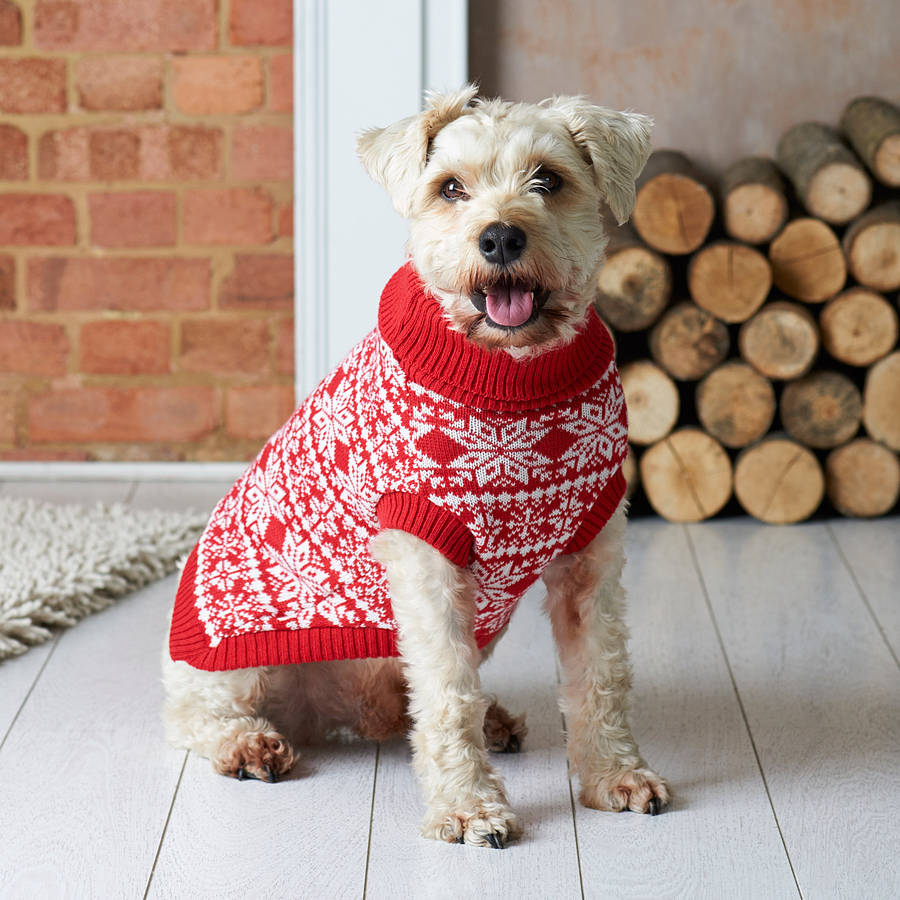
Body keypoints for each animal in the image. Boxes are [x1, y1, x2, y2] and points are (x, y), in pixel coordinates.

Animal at [162, 81, 668, 848]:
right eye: (450, 187)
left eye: (549, 179)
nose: (500, 237)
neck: (510, 375)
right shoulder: (428, 564)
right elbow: (449, 698)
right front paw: (468, 807)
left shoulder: (592, 556)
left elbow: (602, 676)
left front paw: (617, 774)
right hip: (238, 660)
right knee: (197, 712)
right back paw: (248, 745)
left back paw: (491, 719)